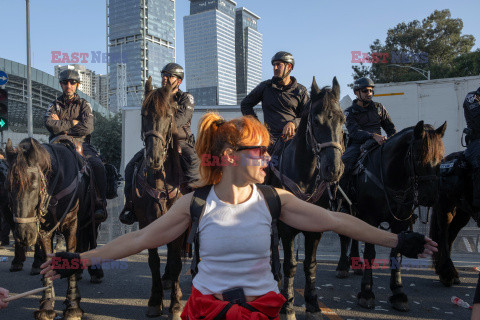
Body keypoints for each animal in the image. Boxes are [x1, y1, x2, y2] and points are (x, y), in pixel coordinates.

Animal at [6, 138, 97, 320]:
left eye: (33, 185)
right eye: (8, 187)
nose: (24, 235)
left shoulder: (71, 225)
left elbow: (72, 254)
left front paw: (73, 306)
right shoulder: (43, 230)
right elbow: (47, 261)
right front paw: (46, 305)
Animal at [270, 77, 344, 320]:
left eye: (343, 119)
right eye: (316, 120)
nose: (334, 169)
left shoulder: (315, 228)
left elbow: (310, 264)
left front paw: (312, 303)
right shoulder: (286, 228)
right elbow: (291, 264)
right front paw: (288, 306)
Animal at [338, 121, 446, 312]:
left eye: (441, 158)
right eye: (418, 156)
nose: (431, 196)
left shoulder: (399, 223)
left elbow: (397, 253)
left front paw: (398, 293)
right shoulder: (371, 218)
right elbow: (370, 253)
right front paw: (366, 292)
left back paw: (355, 263)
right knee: (344, 236)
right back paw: (343, 266)